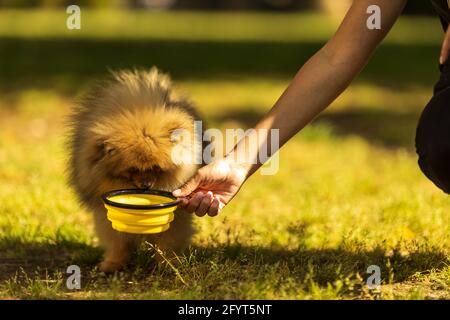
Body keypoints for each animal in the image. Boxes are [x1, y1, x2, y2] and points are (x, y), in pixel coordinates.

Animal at [67, 67, 203, 272]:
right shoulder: (105, 212)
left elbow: (169, 240)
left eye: (156, 168)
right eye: (132, 169)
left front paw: (168, 263)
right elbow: (117, 241)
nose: (146, 185)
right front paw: (114, 263)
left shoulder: (177, 215)